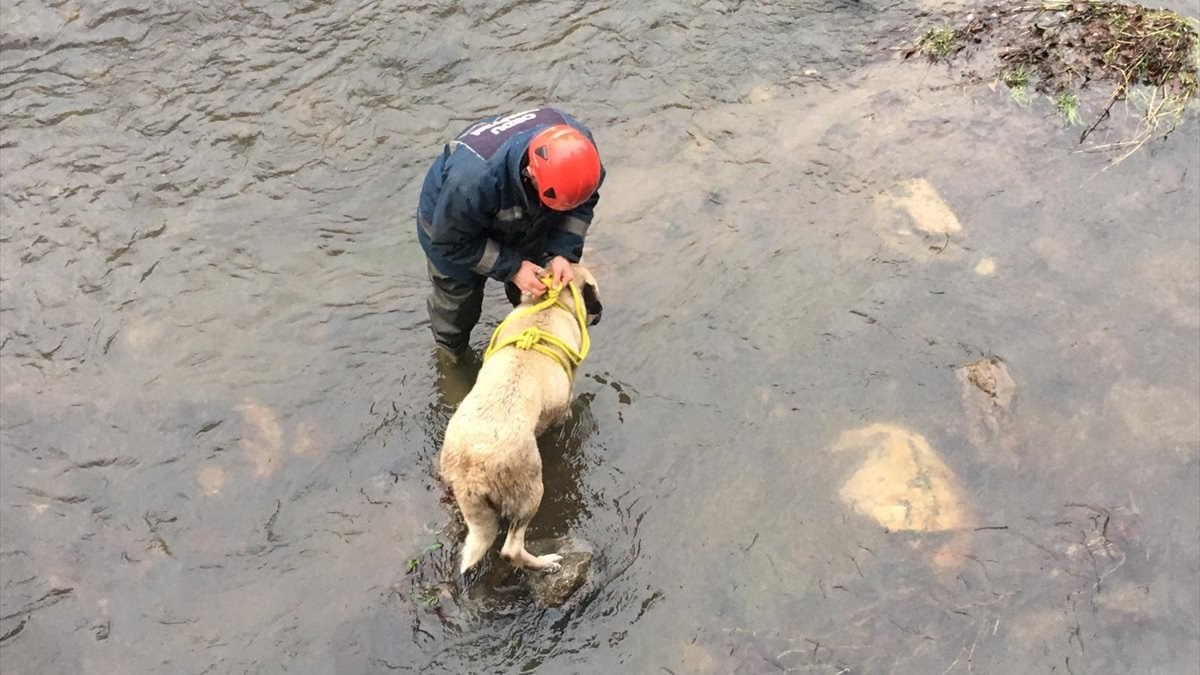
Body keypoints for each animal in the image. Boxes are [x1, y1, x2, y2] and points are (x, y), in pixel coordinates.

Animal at [439, 264, 604, 571]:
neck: (549, 303)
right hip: (529, 492)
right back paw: (545, 563)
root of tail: (473, 464)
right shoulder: (565, 400)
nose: (600, 313)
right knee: (511, 549)